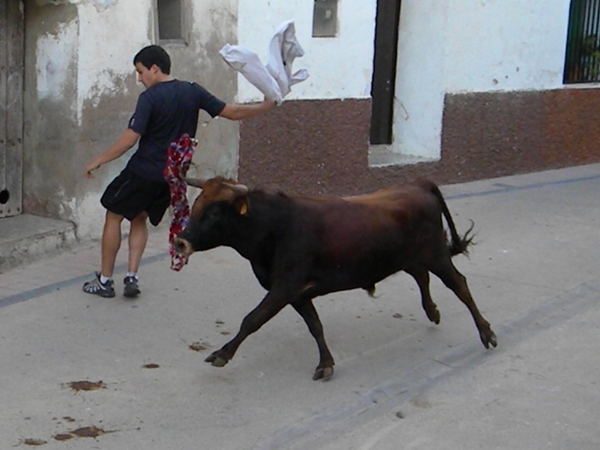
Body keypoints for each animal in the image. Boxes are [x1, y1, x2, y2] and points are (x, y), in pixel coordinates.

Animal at [173, 176, 496, 380]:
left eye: (214, 213)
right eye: (196, 205)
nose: (180, 242)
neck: (273, 226)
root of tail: (417, 184)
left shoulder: (284, 287)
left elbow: (252, 319)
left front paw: (222, 354)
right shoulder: (297, 293)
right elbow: (315, 325)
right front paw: (326, 363)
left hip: (436, 254)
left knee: (459, 285)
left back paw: (486, 333)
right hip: (409, 257)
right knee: (421, 276)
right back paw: (433, 312)